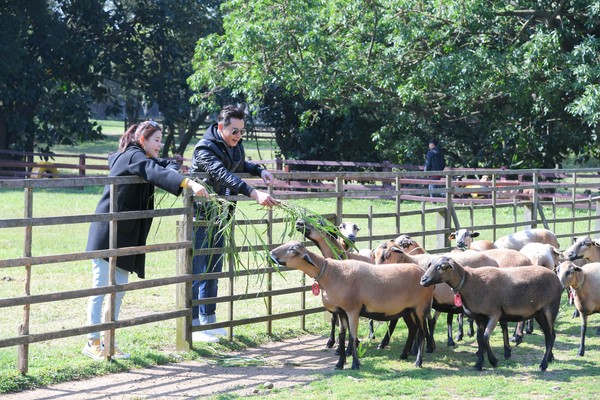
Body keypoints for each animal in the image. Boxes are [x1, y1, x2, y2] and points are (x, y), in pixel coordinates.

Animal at [270, 241, 434, 368]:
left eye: (293, 249)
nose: (271, 253)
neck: (332, 273)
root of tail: (424, 274)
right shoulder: (341, 312)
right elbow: (342, 336)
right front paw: (339, 364)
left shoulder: (353, 310)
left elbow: (353, 336)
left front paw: (355, 364)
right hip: (408, 310)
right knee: (413, 329)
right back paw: (404, 355)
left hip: (420, 308)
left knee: (422, 332)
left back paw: (418, 361)